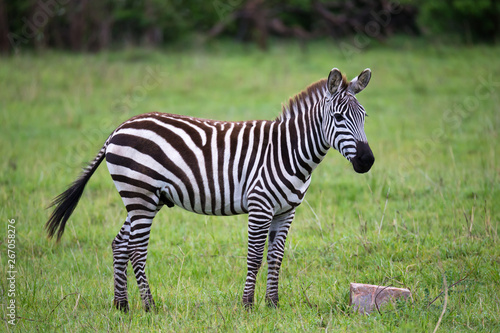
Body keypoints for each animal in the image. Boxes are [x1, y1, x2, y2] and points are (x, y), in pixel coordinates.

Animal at [47, 67, 374, 312]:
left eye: (364, 116)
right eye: (339, 118)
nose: (367, 161)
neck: (288, 151)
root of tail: (119, 127)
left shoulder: (286, 211)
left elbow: (276, 257)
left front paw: (273, 304)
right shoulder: (260, 206)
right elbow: (255, 256)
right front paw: (247, 306)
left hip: (143, 199)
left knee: (120, 244)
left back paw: (122, 305)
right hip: (140, 196)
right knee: (137, 250)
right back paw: (150, 306)